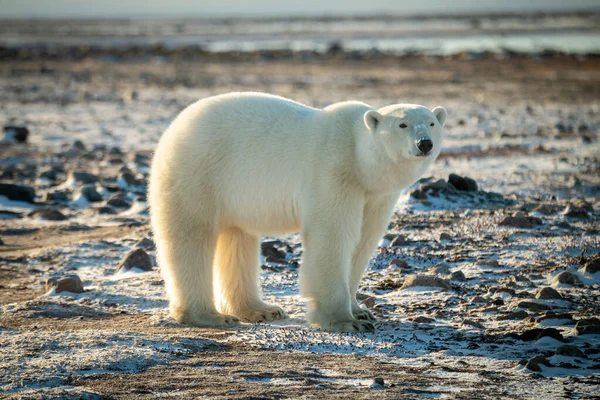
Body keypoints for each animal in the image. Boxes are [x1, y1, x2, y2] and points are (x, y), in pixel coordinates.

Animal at [150, 92, 446, 332]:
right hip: (198, 172)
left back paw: (261, 309)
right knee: (191, 239)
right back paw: (209, 316)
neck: (360, 161)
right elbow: (333, 237)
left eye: (432, 122)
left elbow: (363, 242)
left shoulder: (376, 195)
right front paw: (344, 320)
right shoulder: (334, 173)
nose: (424, 143)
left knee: (237, 241)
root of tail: (173, 129)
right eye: (402, 124)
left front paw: (361, 311)